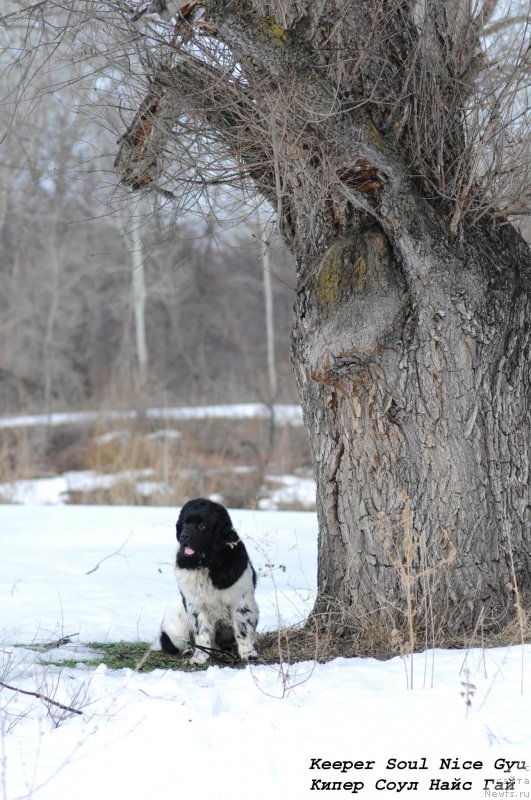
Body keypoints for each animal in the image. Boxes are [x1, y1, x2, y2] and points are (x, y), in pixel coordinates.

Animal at [154, 496, 260, 664]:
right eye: (185, 523)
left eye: (202, 526)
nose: (184, 536)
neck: (205, 564)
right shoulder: (196, 605)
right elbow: (202, 633)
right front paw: (199, 658)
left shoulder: (240, 600)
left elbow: (242, 629)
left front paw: (248, 653)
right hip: (176, 625)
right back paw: (189, 650)